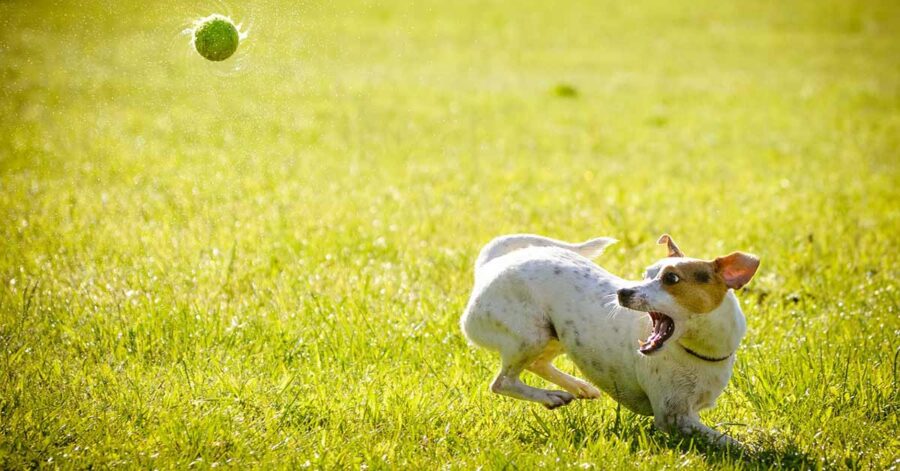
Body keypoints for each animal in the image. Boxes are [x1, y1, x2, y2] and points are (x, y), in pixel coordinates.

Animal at [464, 234, 760, 448]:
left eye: (671, 278)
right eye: (645, 274)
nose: (623, 292)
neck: (697, 350)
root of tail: (490, 266)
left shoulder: (689, 413)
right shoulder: (674, 418)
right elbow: (726, 441)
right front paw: (751, 450)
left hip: (557, 335)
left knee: (537, 364)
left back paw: (578, 387)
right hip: (530, 335)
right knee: (502, 382)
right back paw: (550, 395)